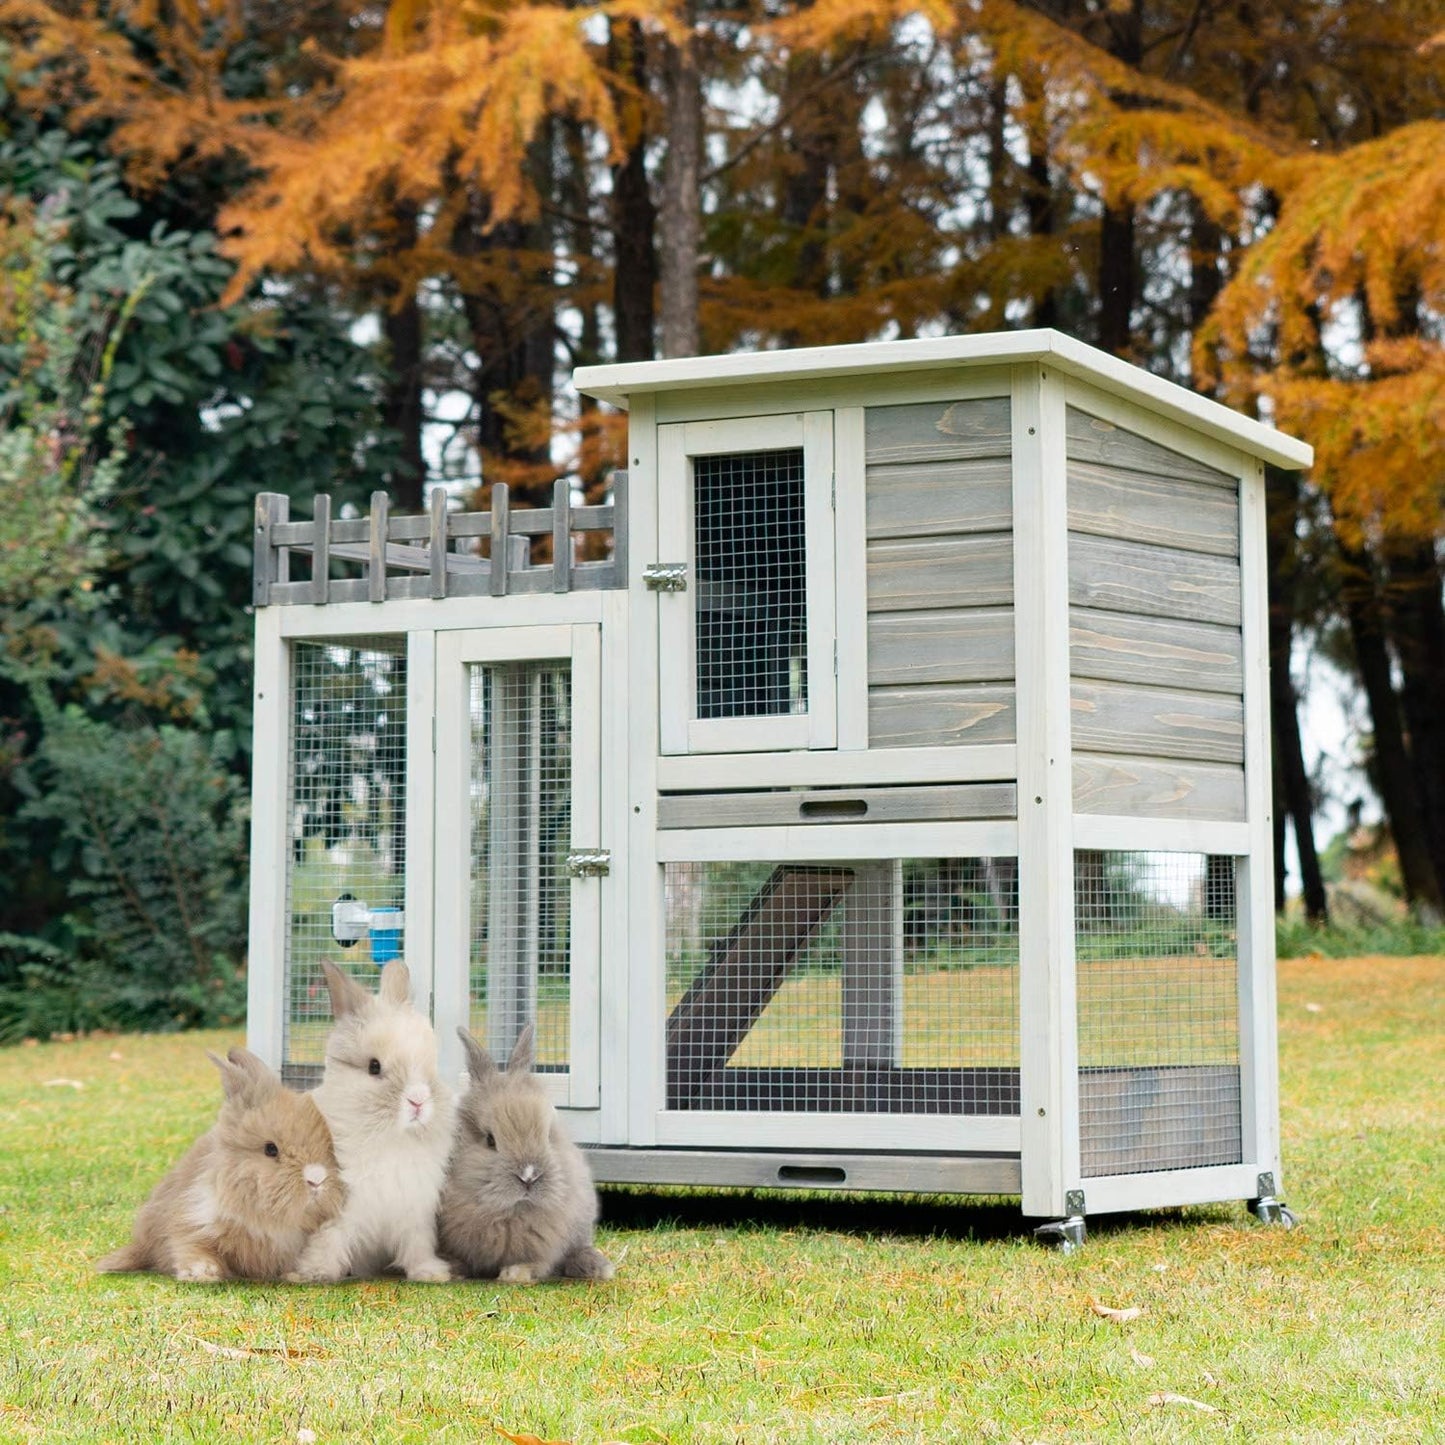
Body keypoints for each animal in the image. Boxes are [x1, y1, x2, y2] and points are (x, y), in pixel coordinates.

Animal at [97, 1051, 342, 1277]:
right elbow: (190, 1247)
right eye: (270, 1149)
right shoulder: (190, 1221)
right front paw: (202, 1273)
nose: (317, 1179)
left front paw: (302, 1274)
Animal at [286, 965, 453, 1283]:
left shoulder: (414, 1210)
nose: (418, 1100)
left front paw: (430, 1273)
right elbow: (327, 1240)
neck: (389, 1138)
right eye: (374, 1067)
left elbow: (417, 1245)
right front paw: (316, 1273)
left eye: (430, 1062)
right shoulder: (333, 1210)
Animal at [433, 1023, 615, 1283]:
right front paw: (450, 1269)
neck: (509, 1213)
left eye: (548, 1135)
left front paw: (515, 1273)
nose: (529, 1176)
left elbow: (538, 1262)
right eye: (490, 1140)